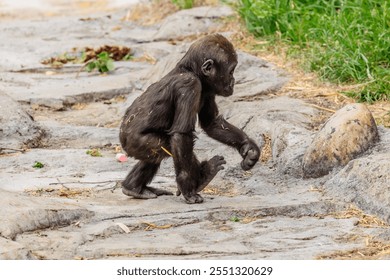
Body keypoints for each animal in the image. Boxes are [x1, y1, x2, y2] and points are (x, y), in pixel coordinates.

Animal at [119, 34, 258, 203]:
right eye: (231, 71)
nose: (233, 82)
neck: (192, 71)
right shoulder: (189, 85)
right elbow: (182, 135)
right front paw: (187, 187)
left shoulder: (208, 90)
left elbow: (212, 123)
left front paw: (249, 148)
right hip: (135, 141)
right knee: (168, 145)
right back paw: (203, 176)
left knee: (154, 155)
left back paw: (133, 187)